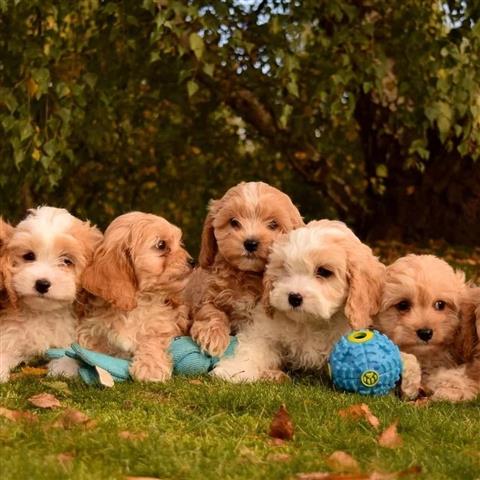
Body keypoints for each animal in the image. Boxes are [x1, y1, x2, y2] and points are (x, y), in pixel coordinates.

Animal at [0, 207, 101, 382]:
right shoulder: (10, 334)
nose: (42, 284)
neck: (42, 313)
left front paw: (63, 368)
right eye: (29, 256)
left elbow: (71, 352)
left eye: (67, 261)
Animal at [78, 213, 192, 382]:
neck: (138, 303)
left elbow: (152, 341)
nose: (192, 261)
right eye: (161, 245)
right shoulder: (89, 329)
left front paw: (150, 368)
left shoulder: (161, 325)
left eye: (180, 242)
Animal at [188, 182, 304, 358]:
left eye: (273, 224)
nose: (250, 243)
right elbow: (211, 311)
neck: (246, 274)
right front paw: (213, 336)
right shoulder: (207, 295)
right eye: (234, 222)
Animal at [212, 221, 384, 382]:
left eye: (324, 271)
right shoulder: (265, 329)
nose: (294, 297)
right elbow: (253, 347)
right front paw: (234, 370)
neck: (310, 322)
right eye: (285, 268)